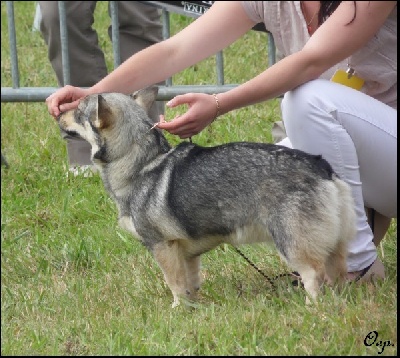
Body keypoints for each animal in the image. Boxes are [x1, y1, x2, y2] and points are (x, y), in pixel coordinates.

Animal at [57, 87, 356, 308]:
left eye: (77, 112)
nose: (58, 112)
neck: (141, 163)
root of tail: (321, 167)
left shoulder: (162, 246)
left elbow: (175, 284)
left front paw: (177, 310)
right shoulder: (187, 254)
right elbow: (190, 284)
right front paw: (193, 308)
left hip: (292, 244)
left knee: (314, 275)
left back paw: (312, 307)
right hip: (335, 245)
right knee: (338, 273)